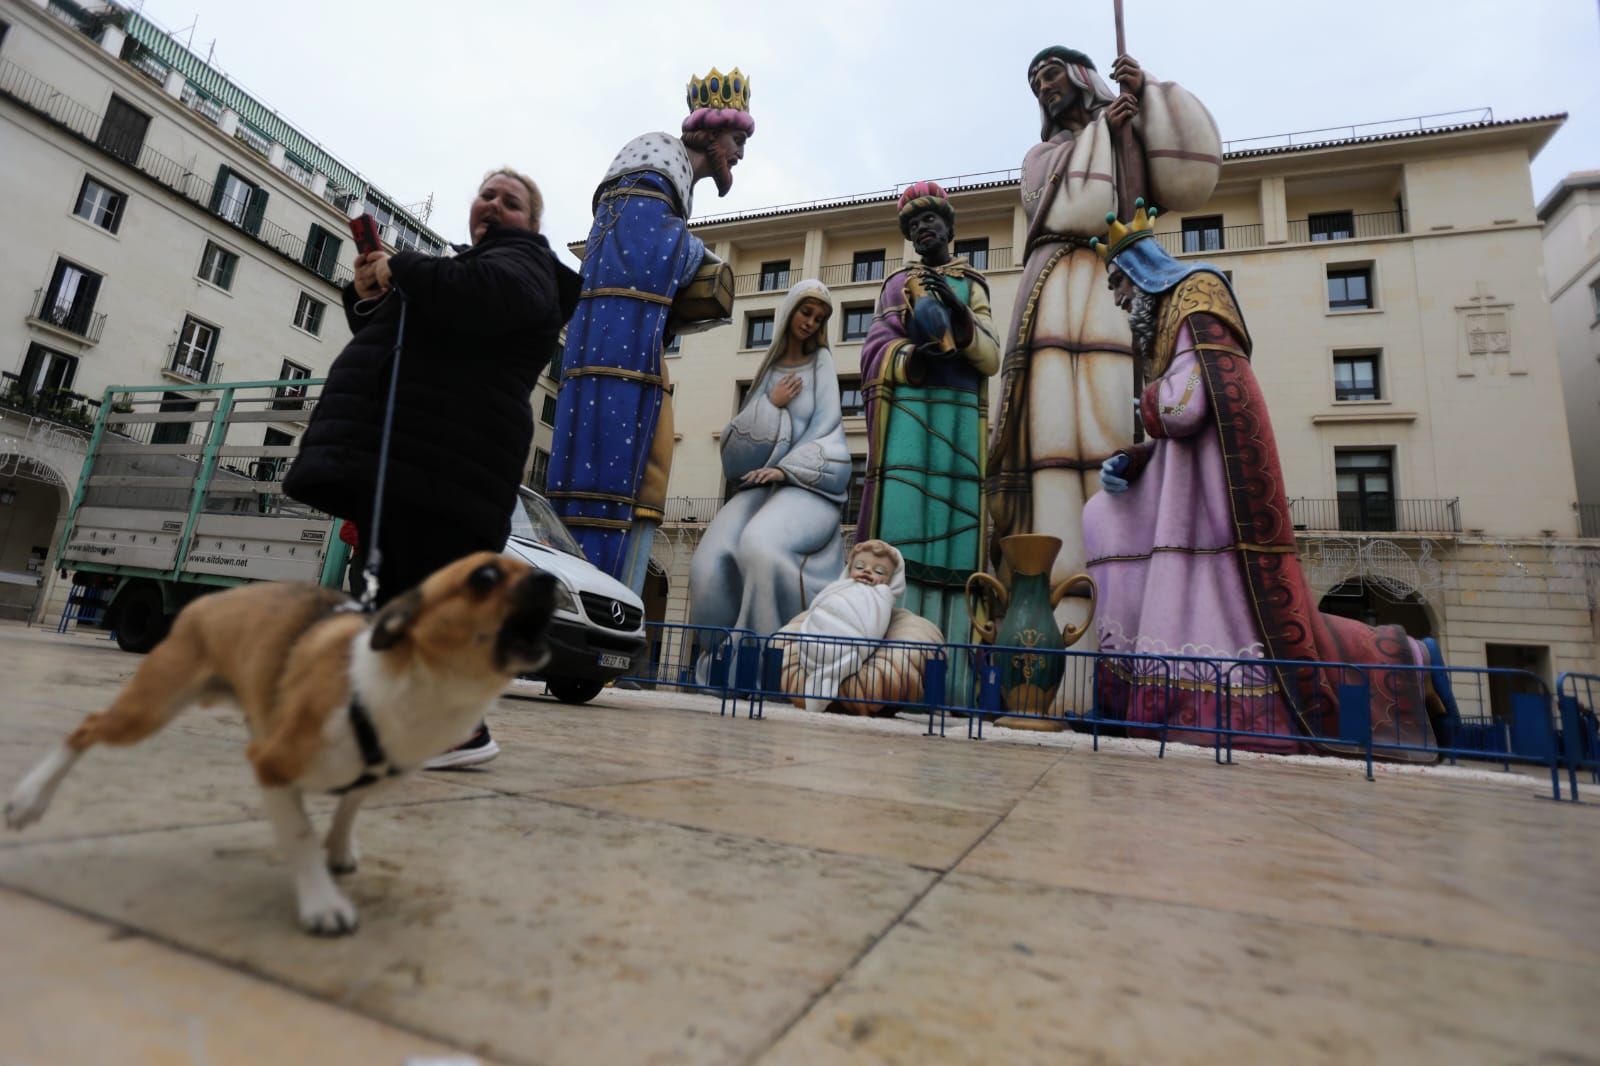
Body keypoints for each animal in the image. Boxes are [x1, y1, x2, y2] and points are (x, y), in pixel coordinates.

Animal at [4, 550, 556, 934]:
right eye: (484, 577)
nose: (551, 581)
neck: (415, 687)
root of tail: (211, 599)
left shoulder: (357, 773)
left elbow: (349, 804)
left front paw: (339, 847)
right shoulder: (271, 762)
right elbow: (300, 834)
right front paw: (322, 902)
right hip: (149, 708)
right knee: (87, 725)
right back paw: (30, 800)